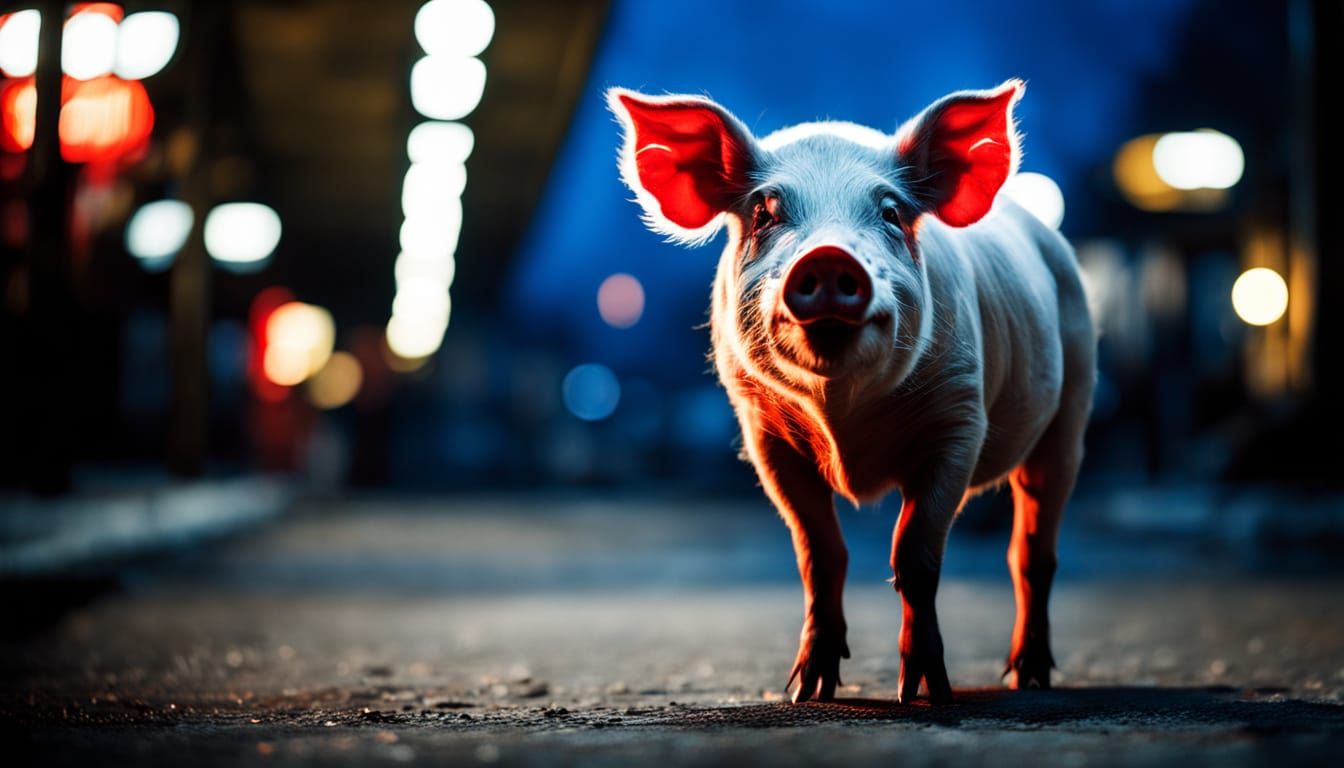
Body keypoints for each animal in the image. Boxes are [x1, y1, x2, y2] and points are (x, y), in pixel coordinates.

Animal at [607, 80, 1094, 705]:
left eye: (890, 212)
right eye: (765, 211)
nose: (828, 256)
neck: (842, 415)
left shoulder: (959, 420)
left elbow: (915, 555)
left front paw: (923, 694)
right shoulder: (764, 435)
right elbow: (820, 552)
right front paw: (807, 691)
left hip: (1072, 409)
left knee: (1032, 549)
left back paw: (1028, 678)